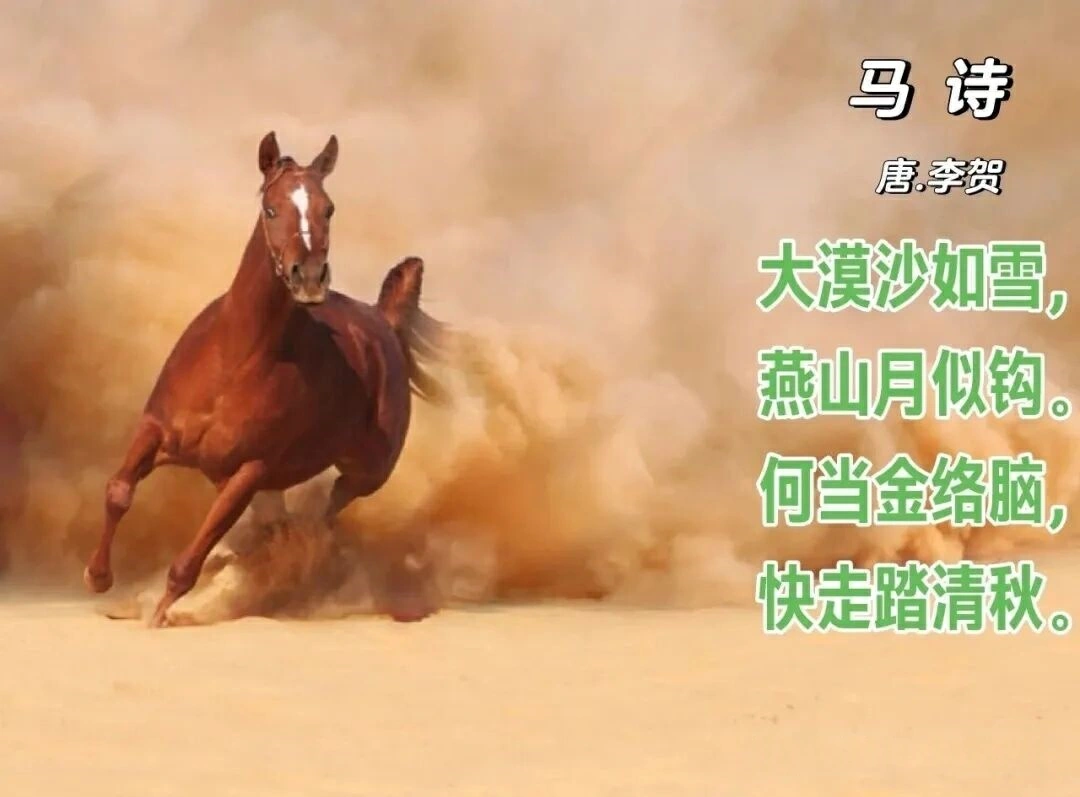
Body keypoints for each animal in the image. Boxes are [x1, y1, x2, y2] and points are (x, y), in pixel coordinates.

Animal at [83, 131, 448, 627]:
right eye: (272, 208)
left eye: (328, 208)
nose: (309, 278)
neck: (233, 361)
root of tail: (383, 321)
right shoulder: (156, 429)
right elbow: (119, 491)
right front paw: (98, 577)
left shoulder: (249, 471)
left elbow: (193, 555)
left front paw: (159, 614)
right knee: (288, 526)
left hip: (364, 472)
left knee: (320, 519)